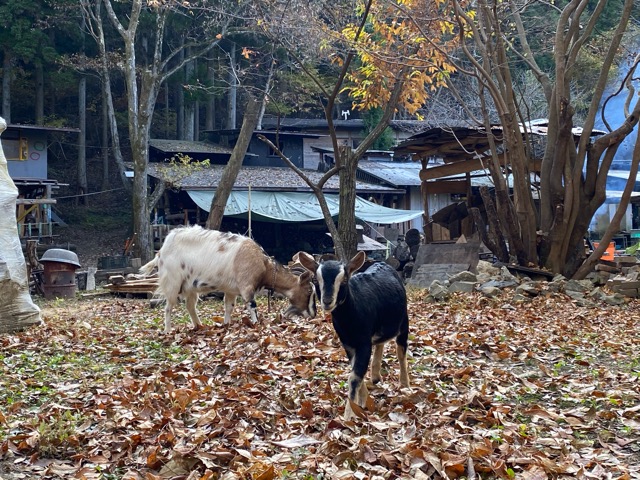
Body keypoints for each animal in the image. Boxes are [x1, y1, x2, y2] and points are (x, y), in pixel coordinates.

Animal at [142, 226, 318, 334]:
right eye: (309, 290)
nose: (313, 314)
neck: (263, 264)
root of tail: (161, 250)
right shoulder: (247, 287)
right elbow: (252, 306)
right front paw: (256, 324)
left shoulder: (231, 290)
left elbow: (228, 307)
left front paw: (226, 325)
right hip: (172, 282)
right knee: (168, 307)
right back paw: (167, 330)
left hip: (190, 286)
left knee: (190, 306)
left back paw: (199, 326)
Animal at [296, 249, 410, 418]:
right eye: (315, 280)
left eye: (344, 281)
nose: (327, 301)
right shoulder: (348, 343)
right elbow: (355, 370)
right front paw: (362, 401)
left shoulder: (363, 342)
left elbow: (354, 377)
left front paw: (349, 414)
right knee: (380, 343)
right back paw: (375, 377)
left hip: (404, 322)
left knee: (401, 350)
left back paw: (405, 385)